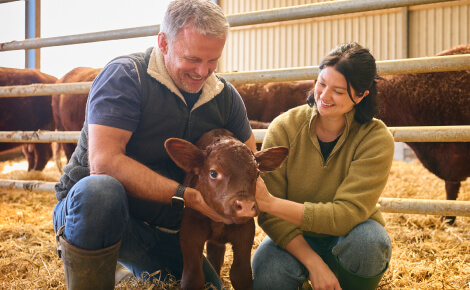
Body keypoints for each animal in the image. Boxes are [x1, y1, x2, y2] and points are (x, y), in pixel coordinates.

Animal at [165, 130, 290, 290]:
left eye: (257, 174)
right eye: (213, 173)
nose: (246, 206)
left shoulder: (246, 231)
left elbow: (240, 275)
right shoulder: (190, 230)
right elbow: (193, 277)